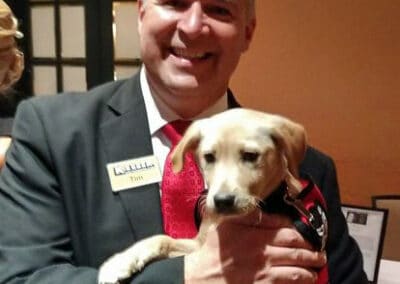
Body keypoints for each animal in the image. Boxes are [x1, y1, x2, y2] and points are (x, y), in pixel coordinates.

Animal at [97, 107, 312, 282]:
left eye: (250, 156)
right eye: (209, 157)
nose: (222, 201)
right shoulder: (197, 246)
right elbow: (162, 239)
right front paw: (120, 262)